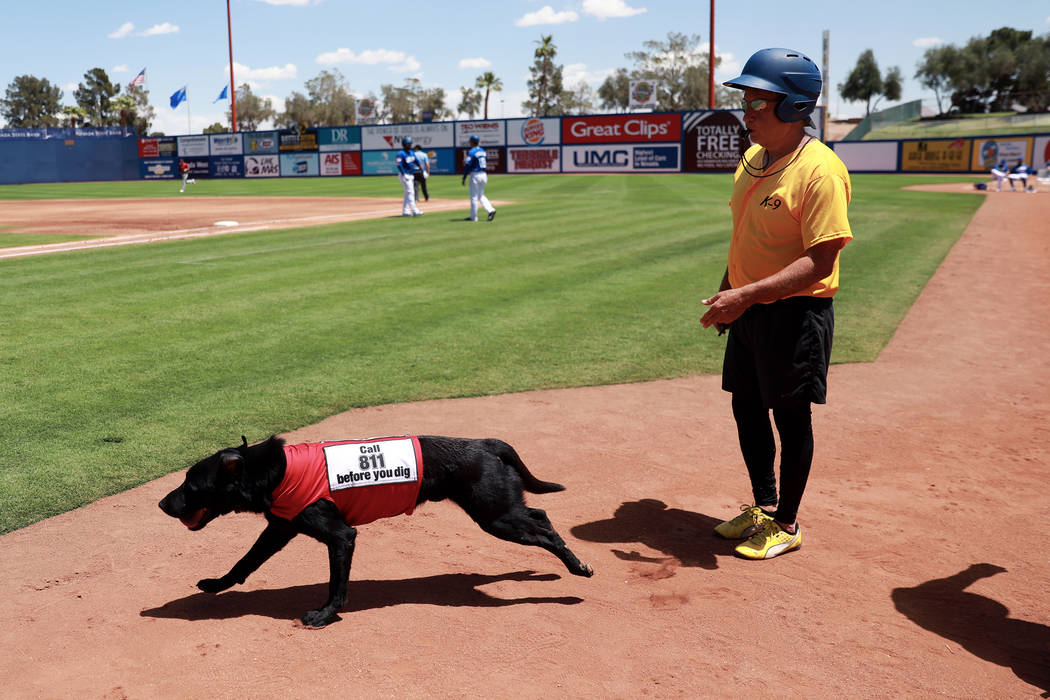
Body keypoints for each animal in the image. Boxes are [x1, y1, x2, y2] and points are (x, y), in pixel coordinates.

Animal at [159, 434, 596, 625]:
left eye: (191, 484)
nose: (161, 504)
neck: (274, 470)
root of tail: (486, 443)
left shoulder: (339, 535)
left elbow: (336, 584)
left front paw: (326, 614)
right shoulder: (281, 527)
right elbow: (245, 562)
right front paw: (216, 584)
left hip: (495, 516)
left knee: (545, 530)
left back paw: (578, 570)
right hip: (501, 509)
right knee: (540, 515)